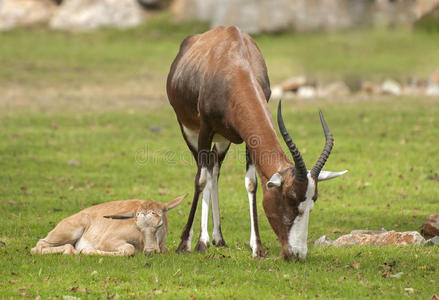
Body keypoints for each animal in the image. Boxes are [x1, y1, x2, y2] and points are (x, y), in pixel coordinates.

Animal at [31, 195, 187, 255]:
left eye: (159, 225)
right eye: (137, 227)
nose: (150, 251)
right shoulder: (106, 240)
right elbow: (129, 248)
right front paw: (86, 250)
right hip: (68, 231)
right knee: (38, 245)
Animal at [166, 26, 348, 260]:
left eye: (312, 201)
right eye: (289, 199)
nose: (297, 254)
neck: (234, 61)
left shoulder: (247, 139)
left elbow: (251, 183)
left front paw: (257, 247)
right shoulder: (205, 128)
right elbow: (201, 180)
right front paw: (192, 243)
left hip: (223, 139)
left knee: (214, 168)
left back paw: (219, 238)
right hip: (190, 131)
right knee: (203, 171)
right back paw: (201, 240)